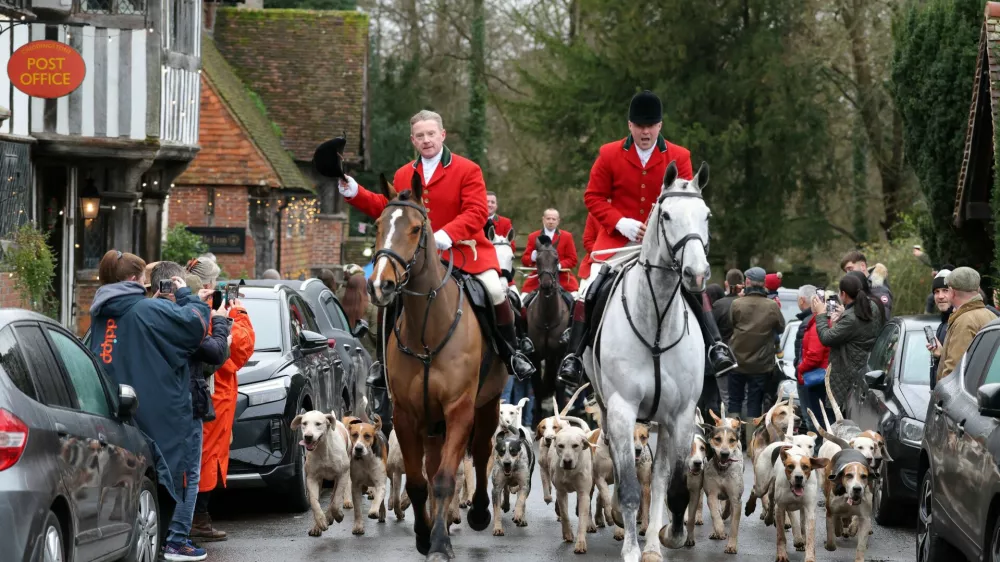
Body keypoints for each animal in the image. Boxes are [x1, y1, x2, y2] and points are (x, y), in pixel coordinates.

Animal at [368, 173, 508, 556]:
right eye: (377, 225)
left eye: (416, 228)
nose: (381, 285)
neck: (427, 330)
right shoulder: (406, 414)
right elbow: (419, 482)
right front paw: (423, 535)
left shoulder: (459, 409)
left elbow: (446, 479)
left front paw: (441, 544)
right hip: (432, 425)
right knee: (431, 470)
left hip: (487, 405)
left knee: (481, 451)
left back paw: (478, 513)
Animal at [524, 234, 572, 422]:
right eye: (537, 260)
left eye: (556, 259)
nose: (546, 285)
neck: (547, 319)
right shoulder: (535, 355)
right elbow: (537, 385)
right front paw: (536, 418)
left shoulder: (559, 354)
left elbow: (558, 383)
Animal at [584, 161, 716, 560]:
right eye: (667, 214)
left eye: (707, 215)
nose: (697, 274)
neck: (656, 320)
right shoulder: (622, 410)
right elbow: (628, 485)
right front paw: (631, 548)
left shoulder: (681, 415)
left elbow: (671, 485)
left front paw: (667, 538)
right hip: (609, 410)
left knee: (659, 478)